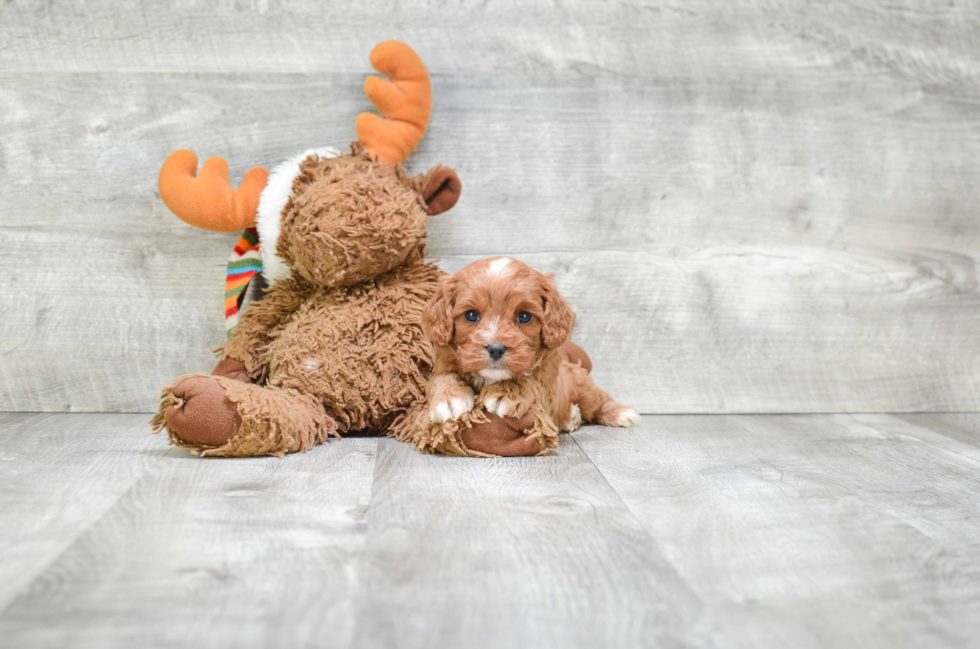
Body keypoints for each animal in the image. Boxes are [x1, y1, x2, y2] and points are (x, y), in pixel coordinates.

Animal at [420, 256, 636, 432]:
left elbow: (531, 380)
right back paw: (572, 419)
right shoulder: (442, 365)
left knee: (597, 399)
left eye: (524, 316)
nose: (496, 349)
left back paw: (621, 413)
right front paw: (449, 399)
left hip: (581, 385)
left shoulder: (549, 385)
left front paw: (506, 393)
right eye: (471, 315)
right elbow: (444, 378)